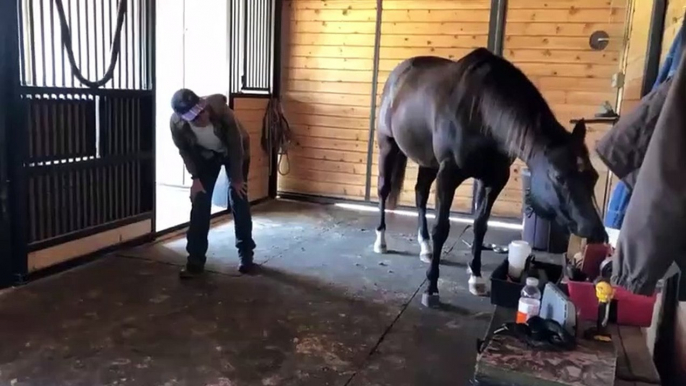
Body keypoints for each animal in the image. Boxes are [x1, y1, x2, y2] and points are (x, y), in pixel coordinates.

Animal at [376, 48, 608, 308]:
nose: (597, 232)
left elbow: (480, 226)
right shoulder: (448, 175)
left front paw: (476, 277)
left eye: (594, 176)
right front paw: (431, 288)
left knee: (420, 194)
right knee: (384, 190)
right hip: (388, 145)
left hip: (428, 162)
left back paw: (425, 247)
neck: (480, 111)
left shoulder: (493, 180)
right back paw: (382, 241)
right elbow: (442, 228)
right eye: (558, 176)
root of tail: (398, 74)